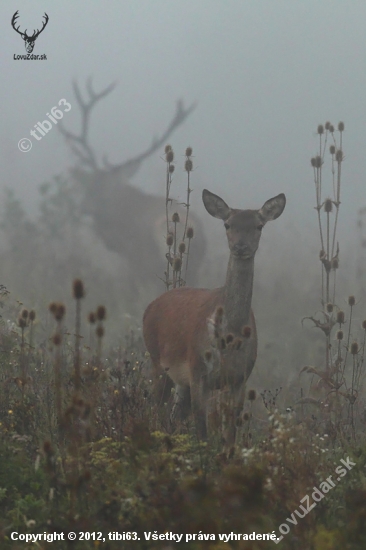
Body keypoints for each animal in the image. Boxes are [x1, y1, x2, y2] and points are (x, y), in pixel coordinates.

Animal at [143, 188, 286, 446]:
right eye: (227, 224)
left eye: (259, 225)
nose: (240, 246)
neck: (230, 336)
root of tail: (149, 308)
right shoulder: (198, 370)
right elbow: (202, 430)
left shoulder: (240, 378)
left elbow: (230, 434)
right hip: (157, 360)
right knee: (155, 407)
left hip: (179, 380)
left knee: (174, 415)